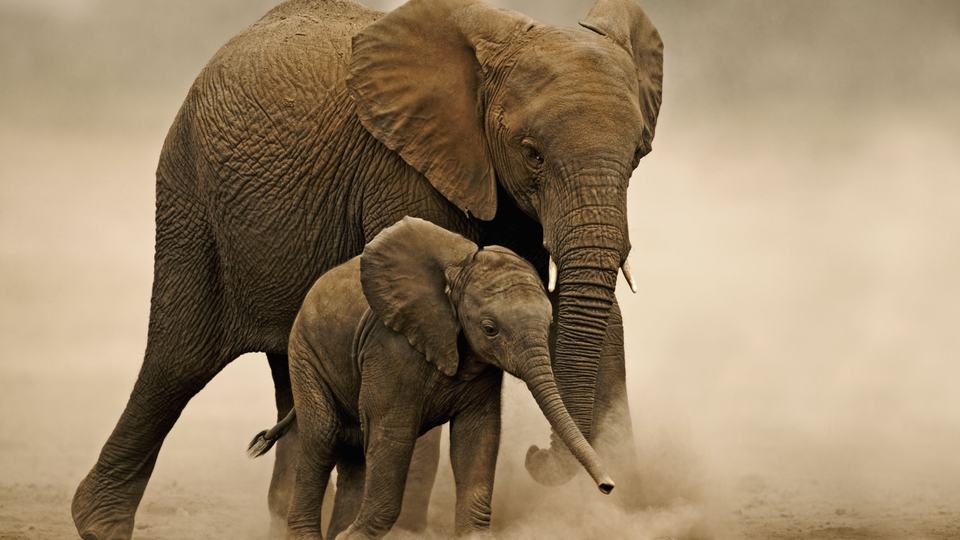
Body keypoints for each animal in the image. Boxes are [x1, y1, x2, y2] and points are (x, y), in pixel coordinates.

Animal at [247, 217, 614, 539]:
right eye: (490, 329)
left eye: (550, 323)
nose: (608, 486)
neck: (457, 274)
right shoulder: (391, 347)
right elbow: (393, 436)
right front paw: (353, 537)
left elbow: (478, 436)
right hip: (305, 352)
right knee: (323, 438)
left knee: (353, 451)